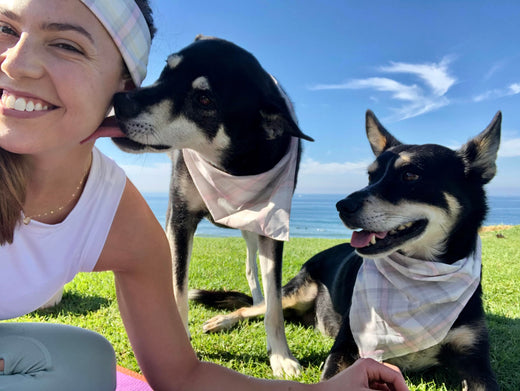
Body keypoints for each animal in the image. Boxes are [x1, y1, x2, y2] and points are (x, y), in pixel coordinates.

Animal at [110, 36, 312, 376]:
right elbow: (177, 286)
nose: (119, 100)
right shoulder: (180, 218)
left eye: (204, 100)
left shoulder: (272, 227)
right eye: (166, 70)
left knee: (252, 269)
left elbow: (274, 302)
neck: (235, 166)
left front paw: (281, 356)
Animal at [193, 111, 502, 391]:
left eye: (411, 175)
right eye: (370, 176)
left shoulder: (475, 359)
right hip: (296, 293)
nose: (342, 206)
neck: (420, 280)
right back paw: (222, 321)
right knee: (257, 307)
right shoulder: (346, 347)